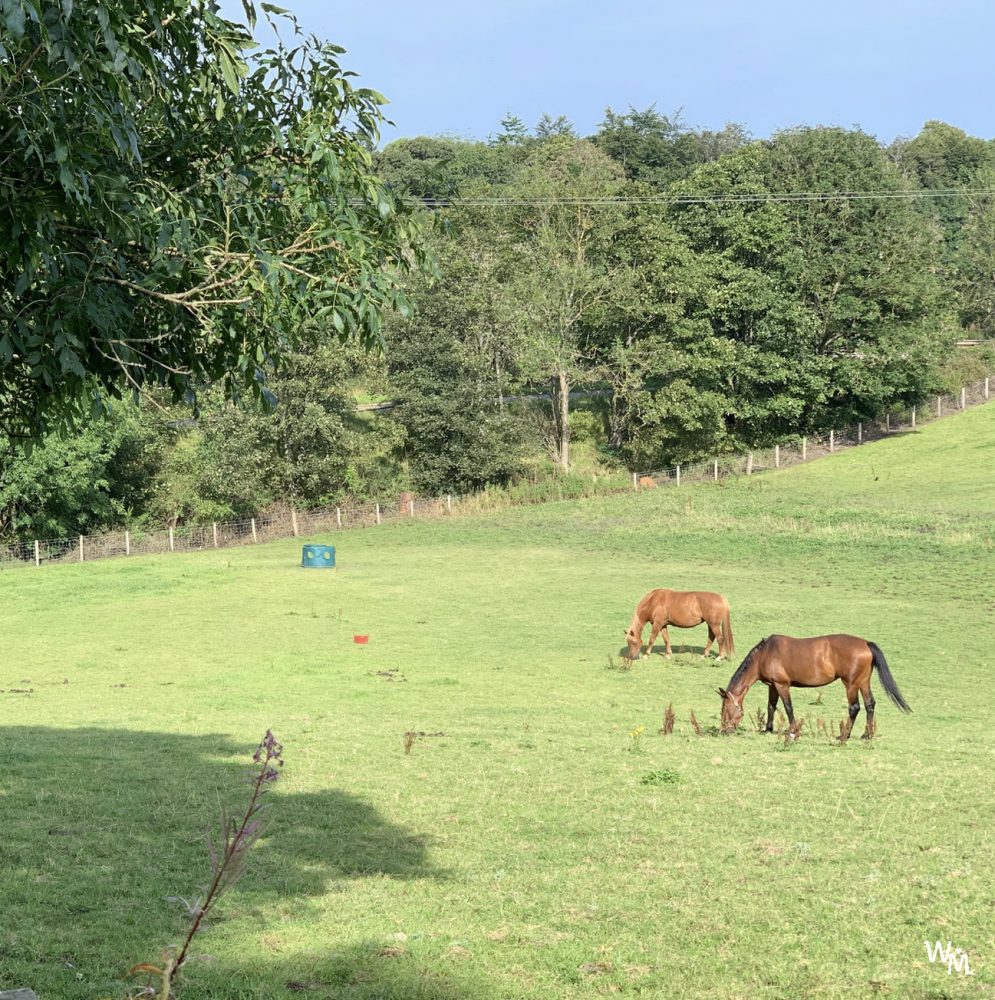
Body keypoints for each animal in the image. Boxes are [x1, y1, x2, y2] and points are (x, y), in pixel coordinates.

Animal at [720, 636, 916, 740]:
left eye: (725, 710)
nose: (724, 731)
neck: (765, 654)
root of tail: (865, 643)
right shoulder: (773, 686)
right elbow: (771, 707)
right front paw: (767, 729)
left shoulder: (782, 685)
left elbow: (788, 708)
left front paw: (793, 731)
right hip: (863, 682)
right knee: (870, 705)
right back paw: (866, 735)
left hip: (851, 684)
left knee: (854, 707)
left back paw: (844, 735)